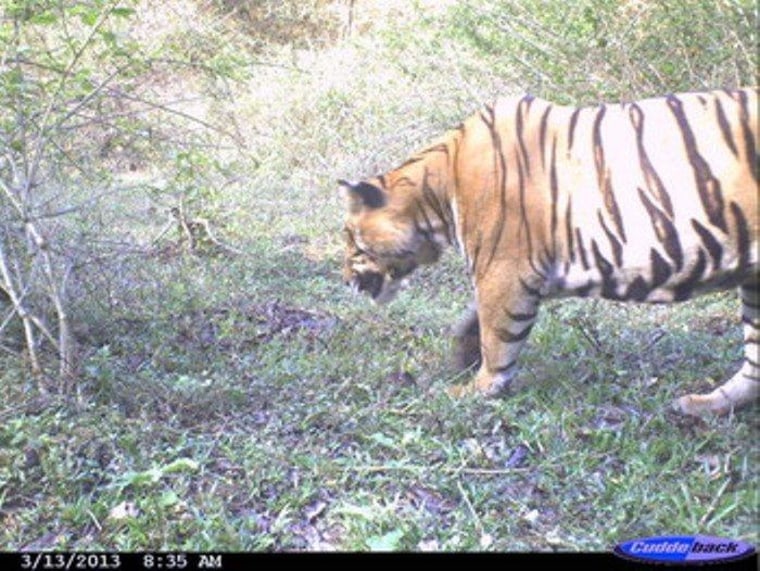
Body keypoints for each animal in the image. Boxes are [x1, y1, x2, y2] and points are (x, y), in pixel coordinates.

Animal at [339, 87, 758, 416]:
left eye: (350, 241)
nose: (344, 280)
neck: (435, 192)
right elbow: (473, 321)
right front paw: (459, 358)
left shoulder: (502, 269)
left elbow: (497, 336)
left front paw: (477, 388)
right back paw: (704, 405)